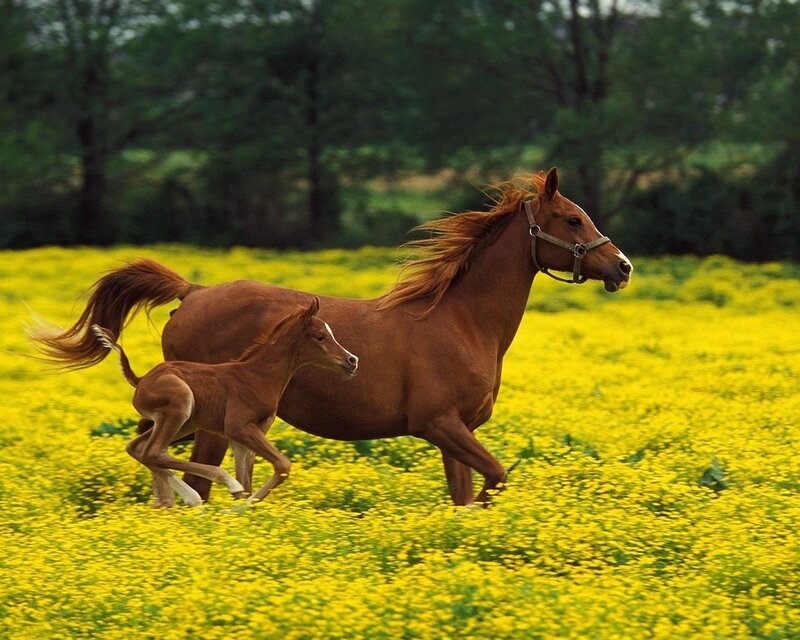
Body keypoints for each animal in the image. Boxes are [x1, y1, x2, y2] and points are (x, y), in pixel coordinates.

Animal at [90, 297, 358, 507]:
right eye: (320, 336)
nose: (352, 360)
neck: (258, 376)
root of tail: (141, 380)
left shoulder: (244, 435)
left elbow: (249, 480)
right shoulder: (238, 427)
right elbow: (281, 465)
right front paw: (240, 506)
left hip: (185, 422)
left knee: (139, 449)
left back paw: (187, 498)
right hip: (180, 404)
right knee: (154, 451)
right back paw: (216, 487)